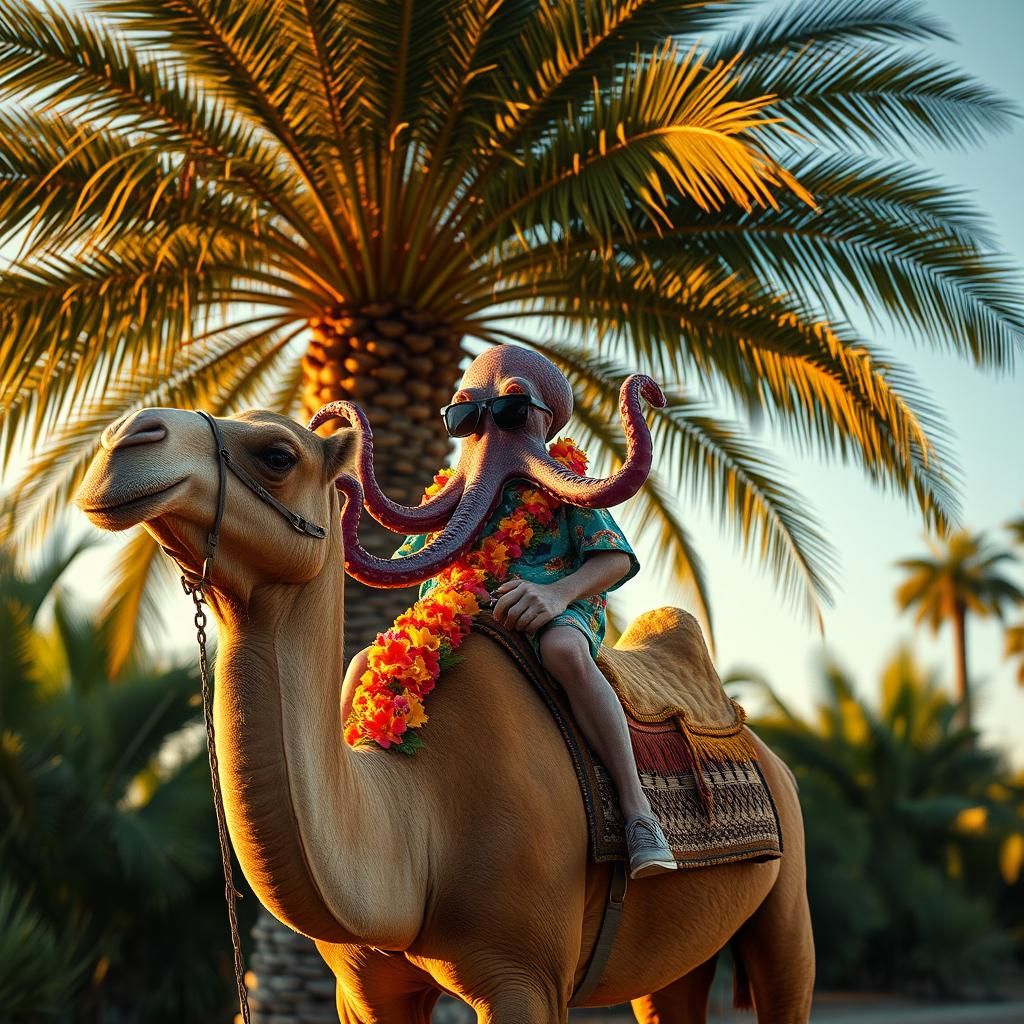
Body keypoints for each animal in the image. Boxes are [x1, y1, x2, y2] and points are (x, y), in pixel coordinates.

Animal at [76, 406, 814, 1023]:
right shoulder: (364, 991)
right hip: (676, 957)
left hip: (789, 906)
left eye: (278, 455)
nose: (124, 439)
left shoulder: (523, 980)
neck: (415, 827)